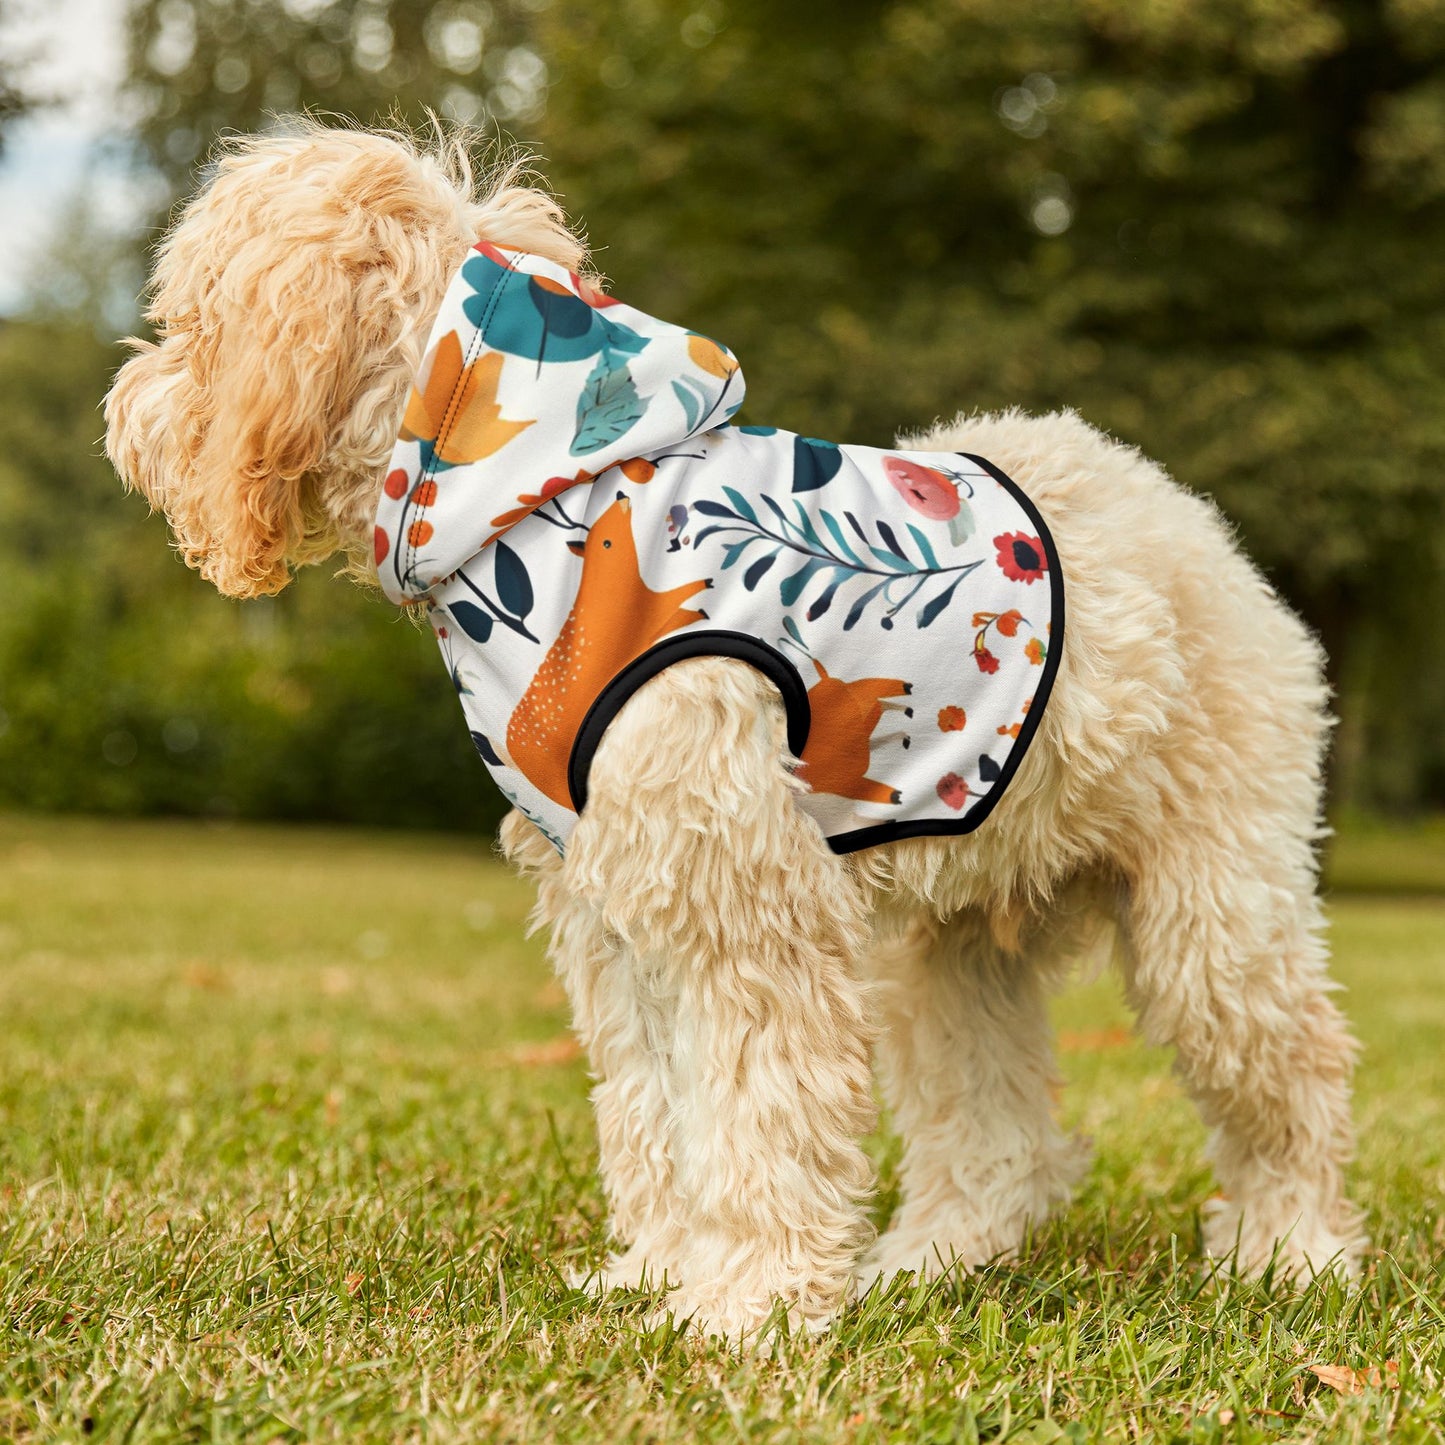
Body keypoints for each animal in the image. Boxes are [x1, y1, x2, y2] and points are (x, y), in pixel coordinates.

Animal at [508, 494, 710, 814]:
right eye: (605, 542)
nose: (621, 496)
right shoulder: (655, 608)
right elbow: (680, 596)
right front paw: (702, 589)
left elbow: (682, 609)